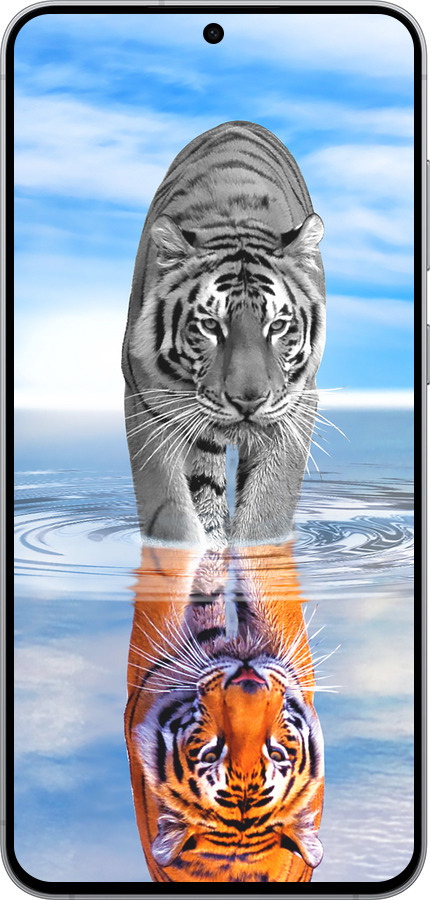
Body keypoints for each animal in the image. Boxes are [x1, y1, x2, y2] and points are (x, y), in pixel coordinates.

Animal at [122, 121, 326, 548]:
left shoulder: (297, 404)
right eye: (210, 325)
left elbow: (268, 509)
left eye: (277, 326)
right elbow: (170, 511)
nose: (248, 401)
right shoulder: (146, 401)